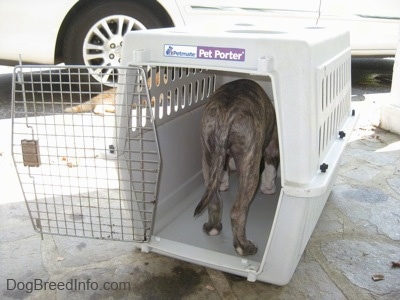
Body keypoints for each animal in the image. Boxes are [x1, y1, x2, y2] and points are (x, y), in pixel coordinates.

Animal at [194, 78, 278, 256]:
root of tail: (225, 114)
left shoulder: (221, 159)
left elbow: (223, 172)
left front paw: (224, 184)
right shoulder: (272, 147)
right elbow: (270, 170)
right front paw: (269, 189)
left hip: (207, 156)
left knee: (214, 200)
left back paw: (212, 228)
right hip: (250, 167)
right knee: (237, 211)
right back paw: (244, 247)